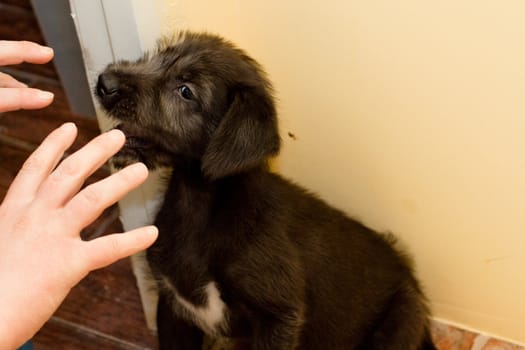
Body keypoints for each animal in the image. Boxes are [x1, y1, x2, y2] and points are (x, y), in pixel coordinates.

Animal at [96, 31, 436, 348]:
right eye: (160, 55)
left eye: (186, 91)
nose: (103, 81)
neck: (200, 208)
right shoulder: (173, 305)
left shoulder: (279, 317)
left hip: (398, 321)